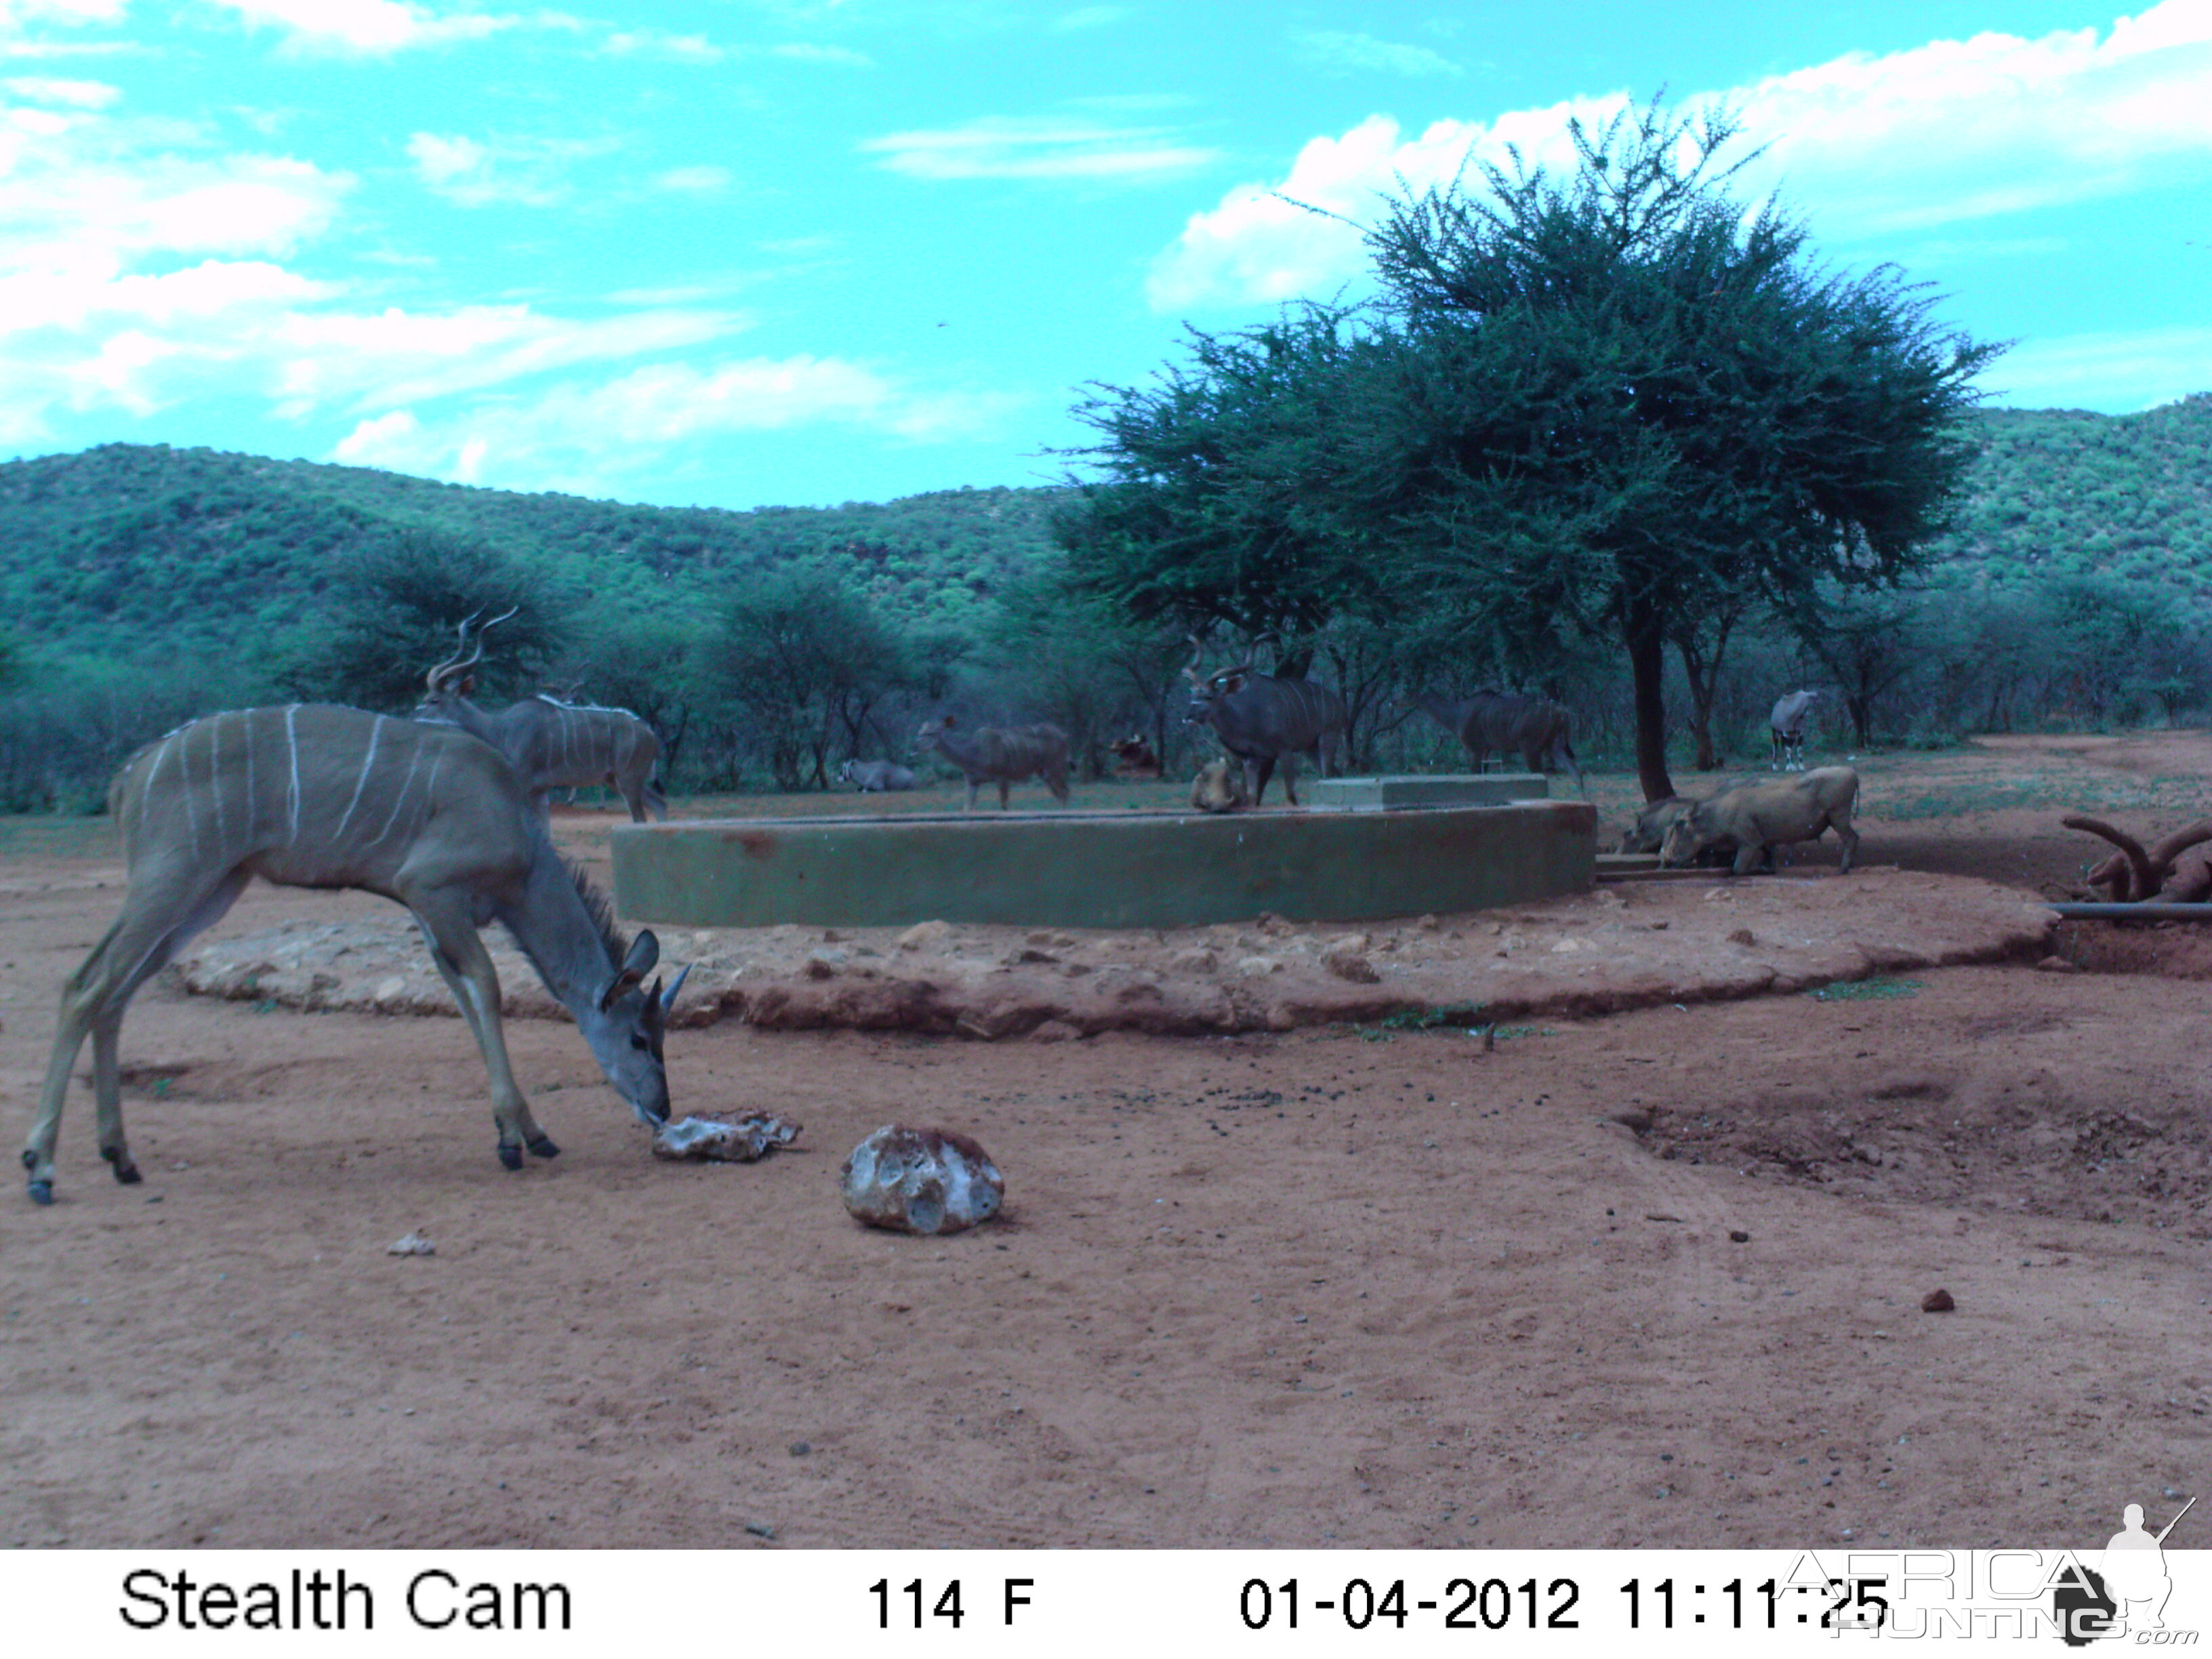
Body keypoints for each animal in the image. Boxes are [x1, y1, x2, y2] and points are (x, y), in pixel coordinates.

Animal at [24, 703, 681, 1212]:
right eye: (640, 1040)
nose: (662, 1109)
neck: (516, 828)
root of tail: (130, 776)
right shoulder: (433, 892)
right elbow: (486, 987)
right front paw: (516, 1141)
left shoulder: (434, 918)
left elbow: (467, 1000)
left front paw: (527, 1131)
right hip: (172, 880)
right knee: (85, 986)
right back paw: (41, 1168)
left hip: (208, 893)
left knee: (115, 993)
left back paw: (120, 1157)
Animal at [417, 610, 663, 827]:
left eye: (434, 700)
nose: (416, 717)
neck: (499, 730)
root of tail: (650, 732)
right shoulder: (539, 791)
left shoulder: (524, 784)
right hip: (616, 779)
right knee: (658, 803)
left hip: (628, 778)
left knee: (641, 816)